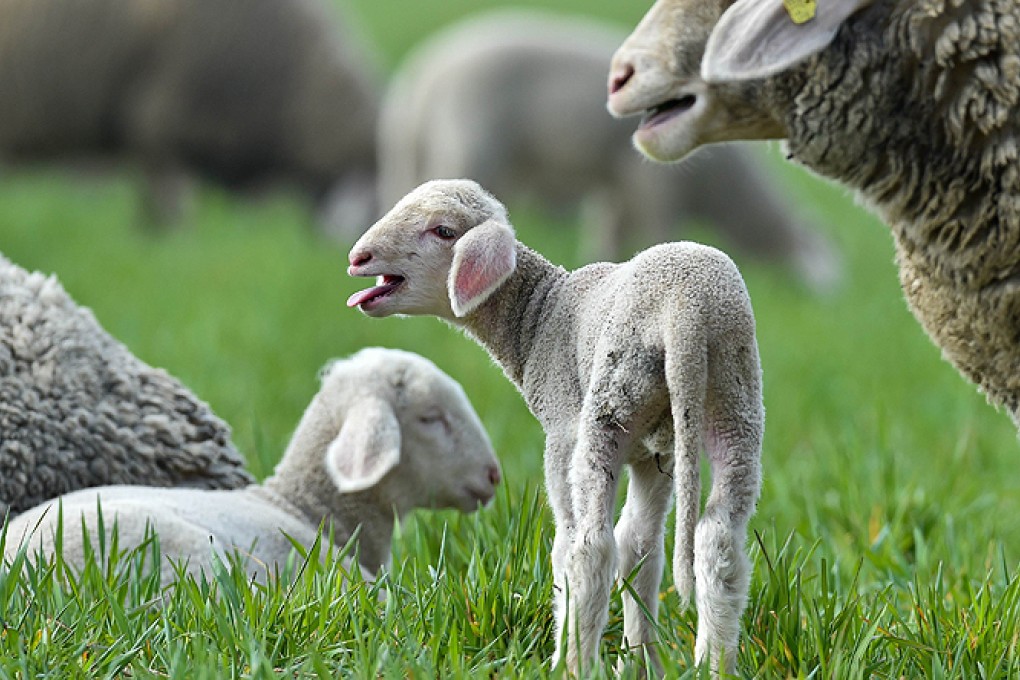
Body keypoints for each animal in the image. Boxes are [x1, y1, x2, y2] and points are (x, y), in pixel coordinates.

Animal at [346, 179, 762, 676]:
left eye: (443, 230)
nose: (358, 257)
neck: (539, 315)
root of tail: (685, 314)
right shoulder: (653, 454)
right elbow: (641, 547)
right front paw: (639, 665)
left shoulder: (563, 428)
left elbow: (577, 547)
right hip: (734, 401)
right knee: (719, 540)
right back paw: (714, 665)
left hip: (606, 409)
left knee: (589, 546)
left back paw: (572, 664)